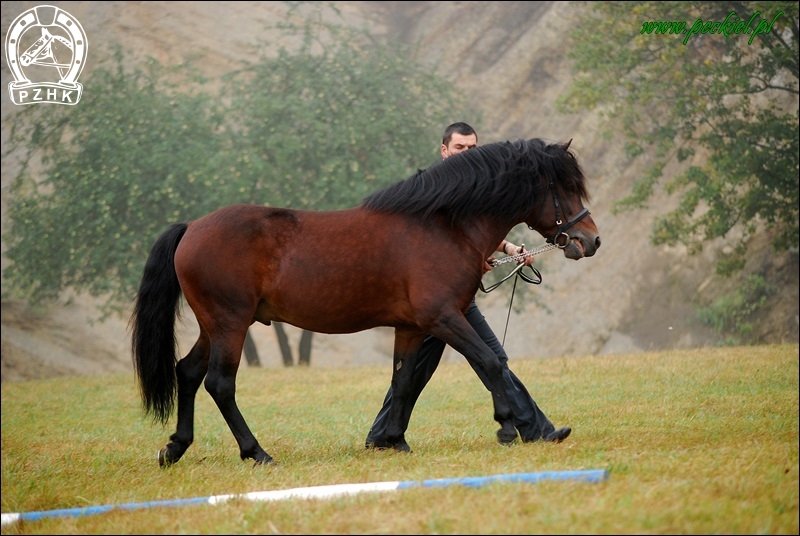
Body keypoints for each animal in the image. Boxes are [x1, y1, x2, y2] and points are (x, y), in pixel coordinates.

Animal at [131, 137, 600, 464]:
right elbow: (488, 361)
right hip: (230, 323)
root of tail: (192, 227)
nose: (590, 240)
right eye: (564, 188)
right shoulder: (443, 317)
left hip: (215, 325)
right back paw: (256, 452)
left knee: (188, 373)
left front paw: (394, 440)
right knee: (219, 384)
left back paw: (175, 448)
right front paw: (506, 427)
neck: (441, 225)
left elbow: (403, 379)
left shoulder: (411, 327)